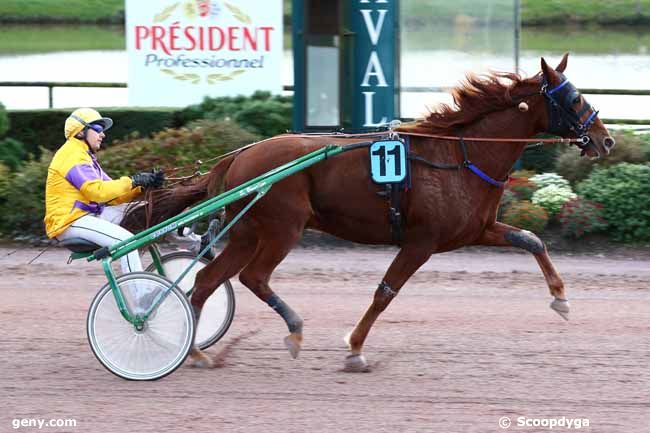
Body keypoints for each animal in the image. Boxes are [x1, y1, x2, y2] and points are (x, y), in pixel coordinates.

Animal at [123, 53, 612, 372]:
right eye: (573, 100)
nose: (605, 140)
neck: (460, 155)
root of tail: (237, 156)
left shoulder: (475, 229)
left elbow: (532, 239)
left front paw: (561, 298)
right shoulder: (421, 242)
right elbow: (385, 292)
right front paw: (355, 348)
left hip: (248, 231)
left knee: (208, 279)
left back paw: (195, 349)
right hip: (282, 227)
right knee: (252, 277)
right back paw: (291, 330)